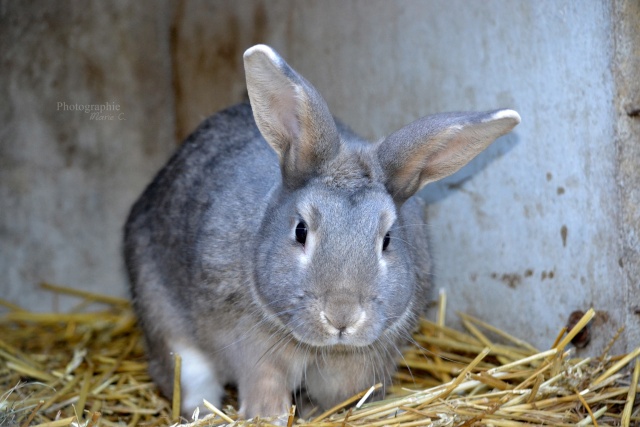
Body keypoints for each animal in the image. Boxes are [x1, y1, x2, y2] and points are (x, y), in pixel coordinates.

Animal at [125, 44, 520, 422]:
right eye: (300, 231)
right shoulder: (250, 346)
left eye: (387, 240)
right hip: (168, 329)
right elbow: (264, 382)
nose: (341, 317)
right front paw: (268, 415)